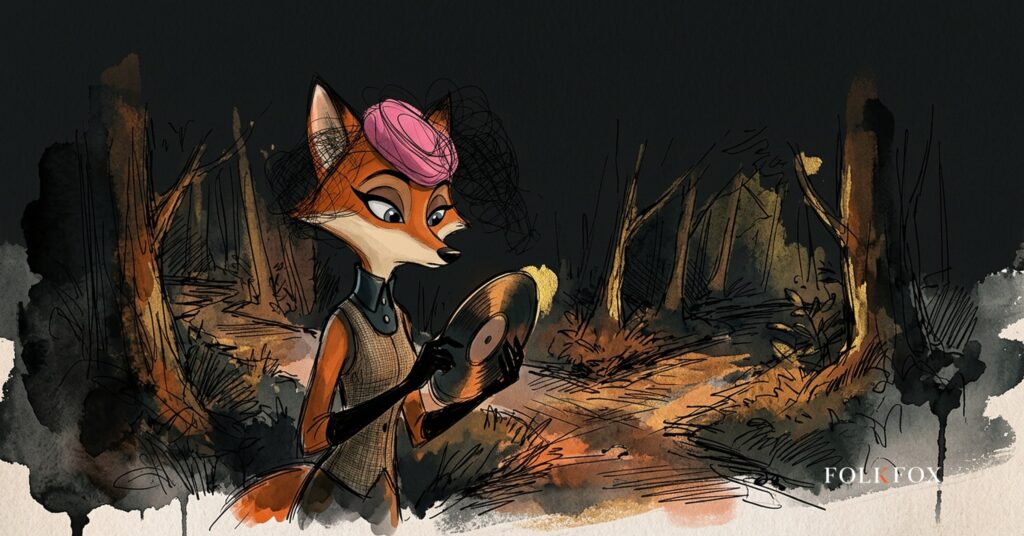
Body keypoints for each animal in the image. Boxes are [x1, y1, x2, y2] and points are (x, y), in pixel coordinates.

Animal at [221, 78, 524, 531]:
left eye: (437, 214)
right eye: (386, 210)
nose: (448, 254)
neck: (378, 299)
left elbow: (418, 426)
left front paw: (505, 372)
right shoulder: (335, 331)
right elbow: (313, 429)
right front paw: (423, 367)